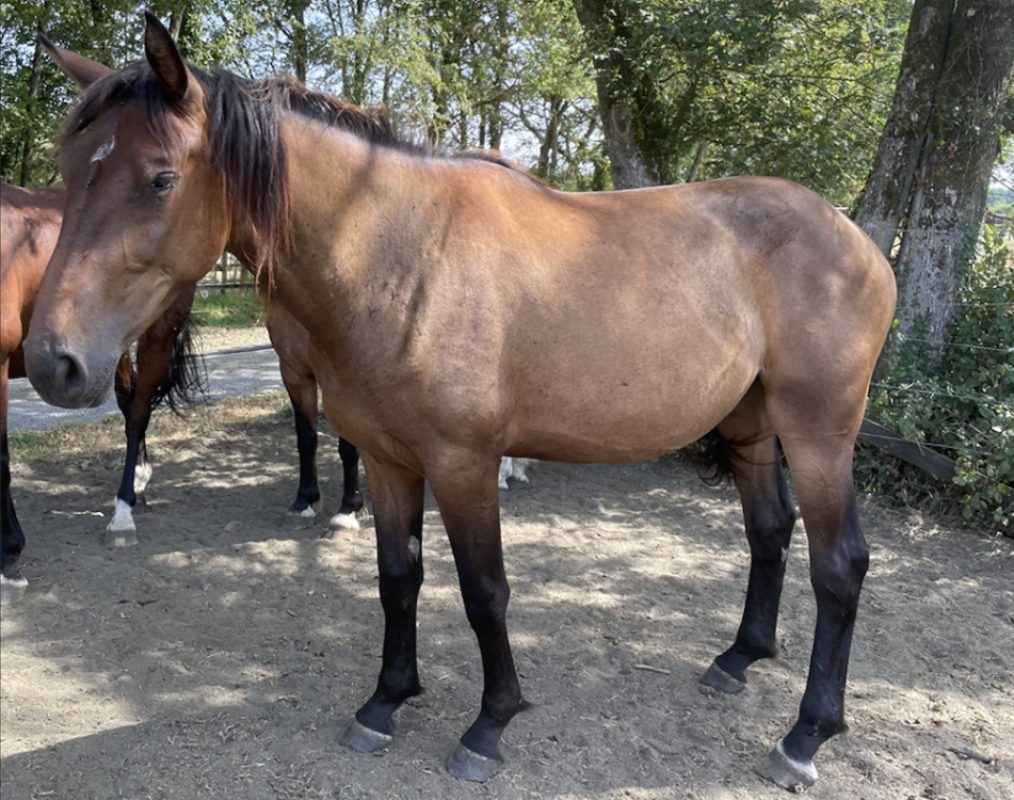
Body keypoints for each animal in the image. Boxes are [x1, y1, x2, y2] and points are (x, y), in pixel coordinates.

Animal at [0, 181, 362, 605]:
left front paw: (9, 560)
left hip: (155, 335)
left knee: (138, 411)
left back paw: (123, 515)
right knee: (130, 402)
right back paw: (137, 484)